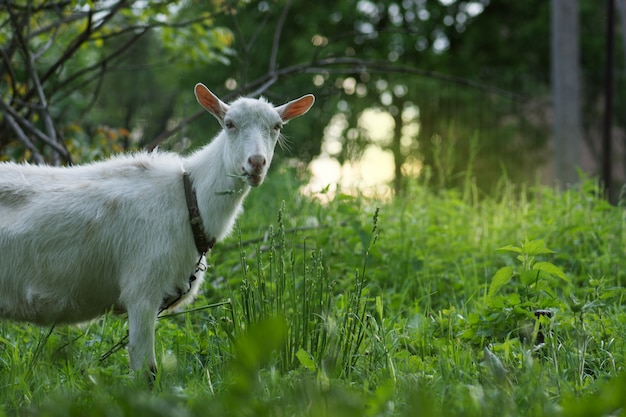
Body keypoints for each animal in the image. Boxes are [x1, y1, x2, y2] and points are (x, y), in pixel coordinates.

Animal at [0, 83, 312, 376]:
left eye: (277, 126)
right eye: (229, 123)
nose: (256, 163)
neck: (188, 198)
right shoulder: (142, 290)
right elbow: (146, 371)